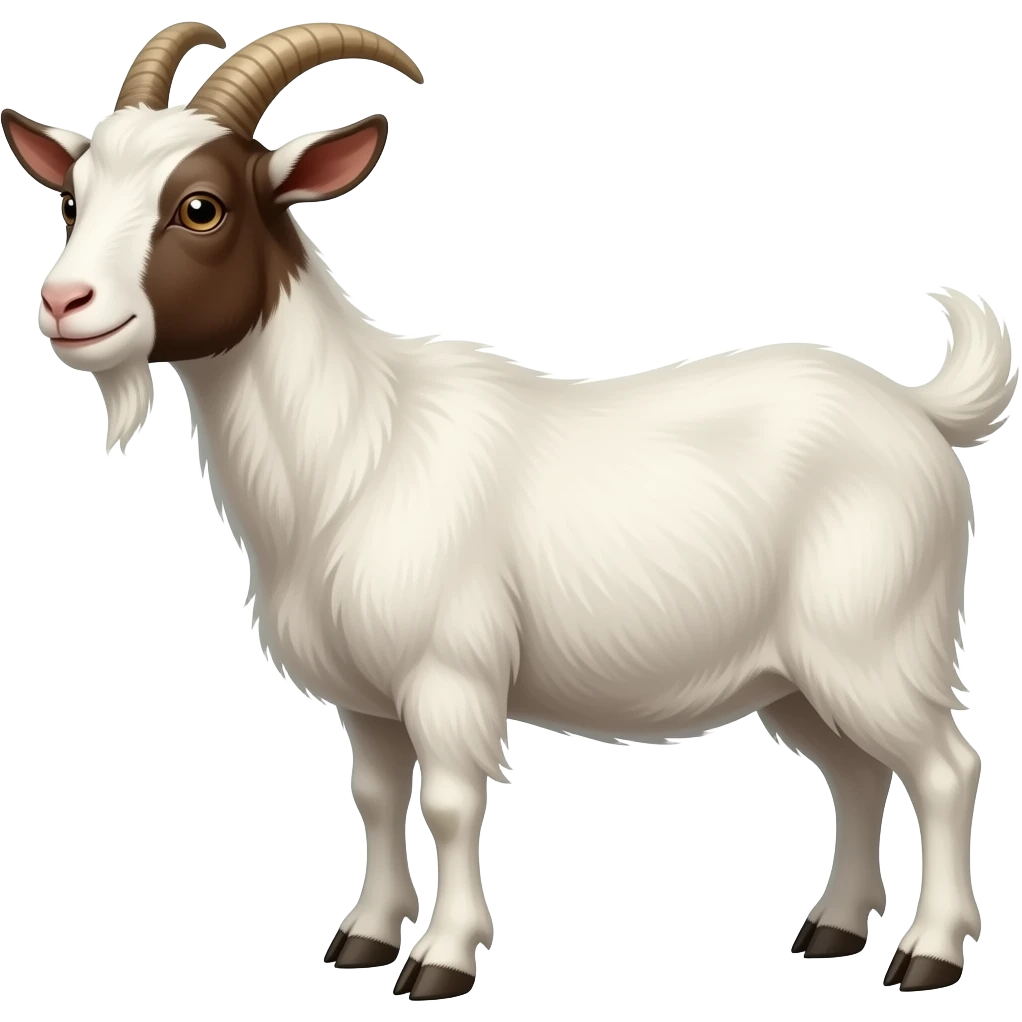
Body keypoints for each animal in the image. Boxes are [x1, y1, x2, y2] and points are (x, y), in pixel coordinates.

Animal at [2, 21, 1014, 1001]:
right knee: (857, 773)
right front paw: (364, 939)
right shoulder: (366, 696)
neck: (356, 450)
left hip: (872, 640)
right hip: (796, 674)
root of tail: (922, 414)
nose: (63, 302)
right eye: (72, 199)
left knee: (945, 767)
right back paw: (836, 929)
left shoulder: (447, 673)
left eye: (201, 205)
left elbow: (450, 803)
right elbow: (375, 797)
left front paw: (442, 961)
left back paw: (930, 953)